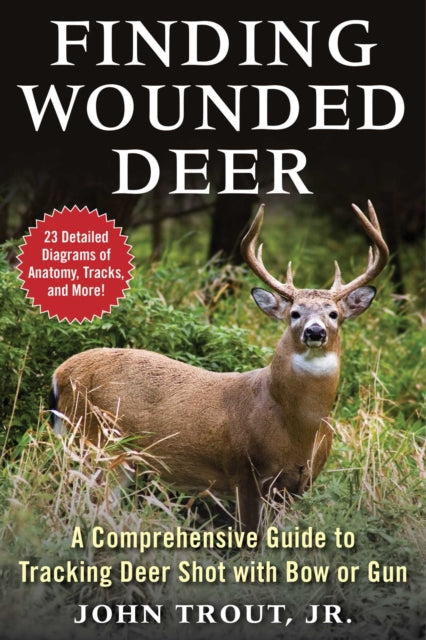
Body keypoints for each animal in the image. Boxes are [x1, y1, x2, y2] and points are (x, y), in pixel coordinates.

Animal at [50, 200, 389, 532]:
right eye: (294, 312)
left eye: (334, 314)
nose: (314, 331)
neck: (296, 427)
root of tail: (60, 373)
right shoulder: (243, 471)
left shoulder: (299, 485)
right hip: (95, 442)